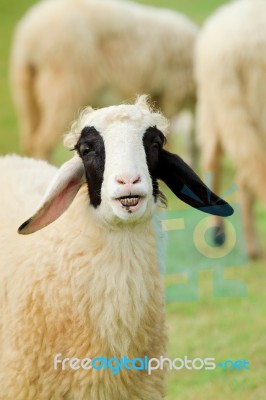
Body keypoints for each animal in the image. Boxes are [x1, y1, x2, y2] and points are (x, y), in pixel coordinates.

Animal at [9, 0, 197, 161]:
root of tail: (30, 39)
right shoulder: (171, 94)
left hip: (25, 89)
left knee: (30, 140)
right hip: (65, 86)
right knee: (42, 142)